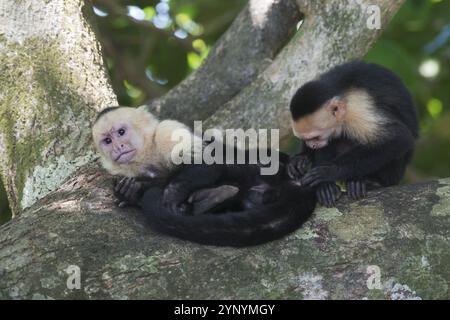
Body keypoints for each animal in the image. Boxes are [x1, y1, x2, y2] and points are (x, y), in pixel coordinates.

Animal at [91, 106, 316, 246]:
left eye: (121, 132)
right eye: (107, 140)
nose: (118, 147)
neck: (148, 156)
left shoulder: (166, 131)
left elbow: (208, 160)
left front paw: (169, 194)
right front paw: (129, 191)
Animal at [288, 61, 418, 208]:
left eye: (316, 137)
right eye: (306, 139)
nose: (312, 145)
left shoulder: (356, 111)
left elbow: (399, 137)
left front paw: (329, 171)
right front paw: (301, 159)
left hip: (395, 175)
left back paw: (370, 182)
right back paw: (326, 188)